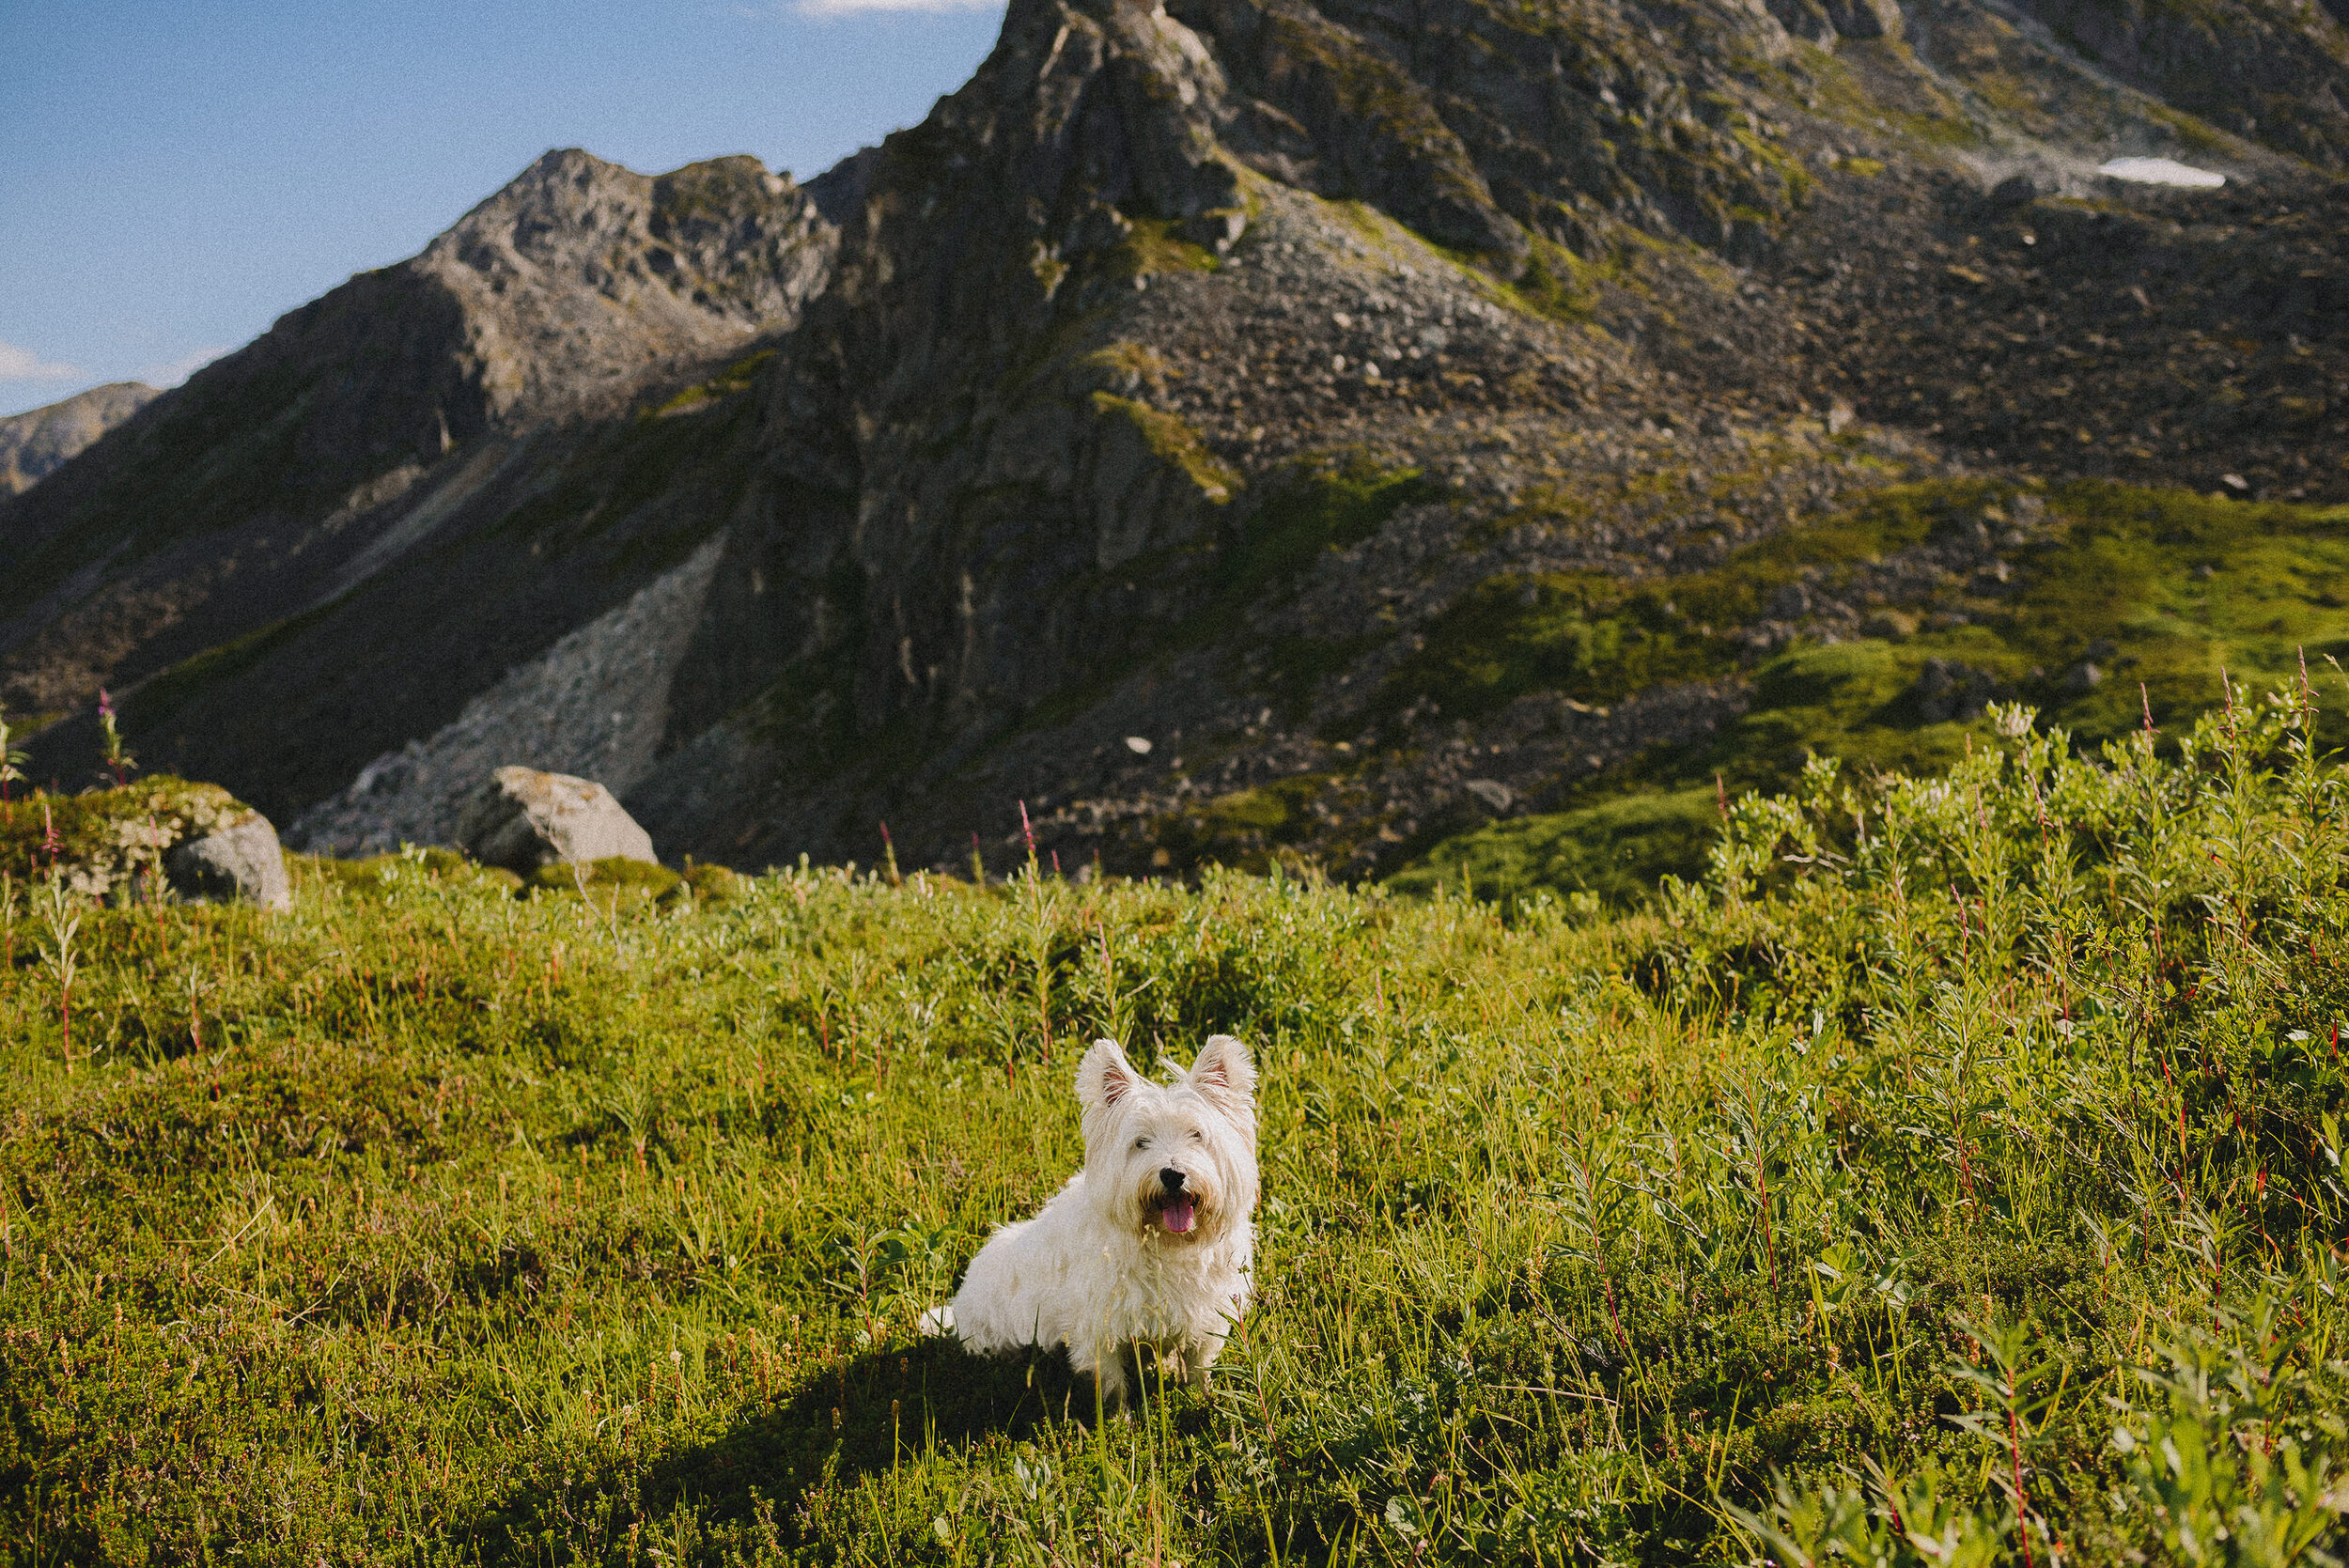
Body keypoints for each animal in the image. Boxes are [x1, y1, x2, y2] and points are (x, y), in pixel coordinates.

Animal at [916, 1028, 1259, 1408]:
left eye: (1197, 1135)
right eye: (1140, 1142)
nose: (1172, 1174)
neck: (1165, 1244)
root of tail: (958, 1308)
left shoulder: (1204, 1317)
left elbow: (1199, 1368)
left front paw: (1205, 1400)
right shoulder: (1100, 1331)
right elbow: (1113, 1386)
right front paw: (1120, 1421)